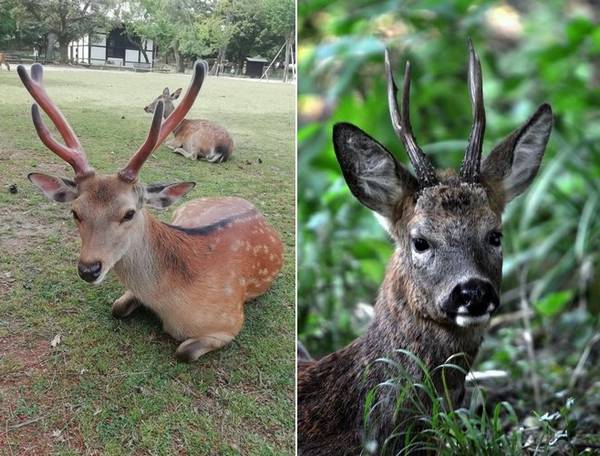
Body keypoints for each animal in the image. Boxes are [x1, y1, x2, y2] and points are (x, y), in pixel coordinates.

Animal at [16, 62, 284, 362]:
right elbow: (116, 308)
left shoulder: (230, 322)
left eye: (129, 213)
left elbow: (184, 351)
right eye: (75, 212)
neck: (168, 301)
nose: (88, 269)